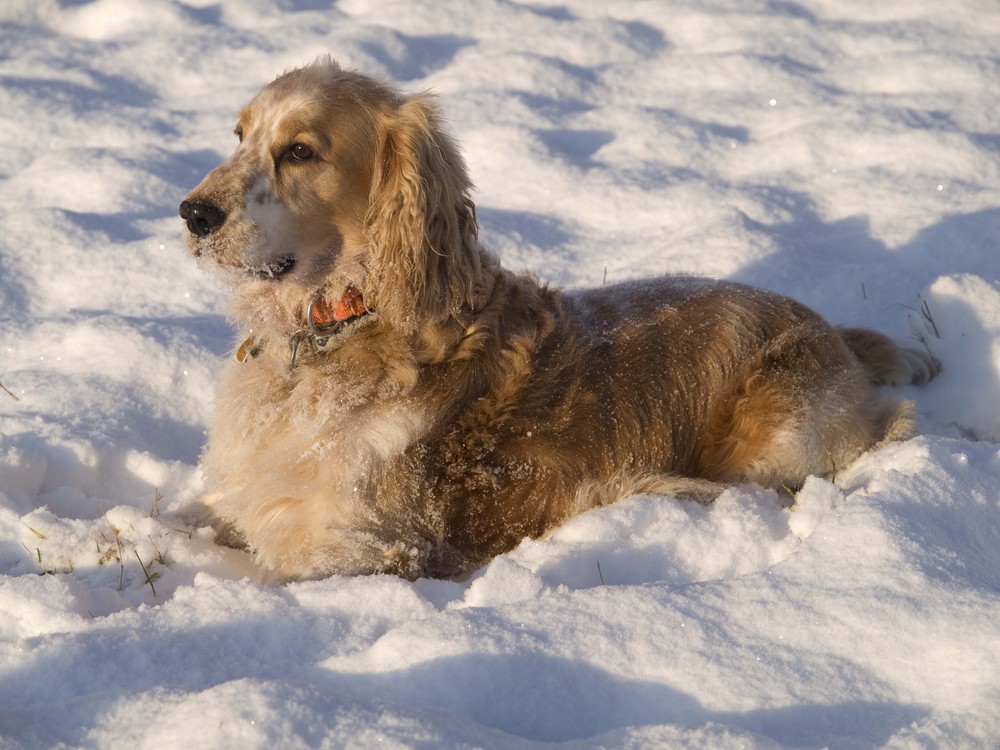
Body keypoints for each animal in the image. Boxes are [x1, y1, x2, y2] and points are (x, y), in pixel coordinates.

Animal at [180, 58, 936, 584]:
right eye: (240, 135)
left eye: (300, 151)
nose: (192, 212)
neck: (340, 325)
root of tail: (834, 331)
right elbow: (181, 517)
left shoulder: (370, 546)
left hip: (784, 435)